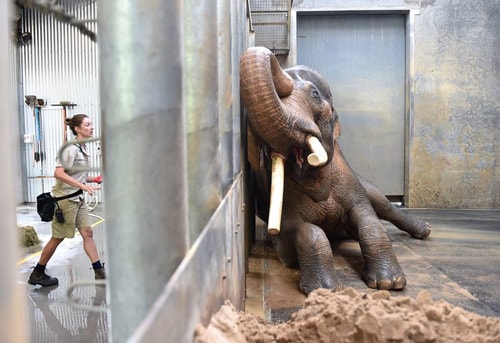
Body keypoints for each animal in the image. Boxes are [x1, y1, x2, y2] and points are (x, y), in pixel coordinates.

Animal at [240, 46, 432, 296]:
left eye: (314, 94)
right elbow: (303, 229)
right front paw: (326, 289)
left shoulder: (350, 185)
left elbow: (368, 219)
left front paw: (390, 283)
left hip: (365, 183)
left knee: (383, 204)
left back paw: (424, 230)